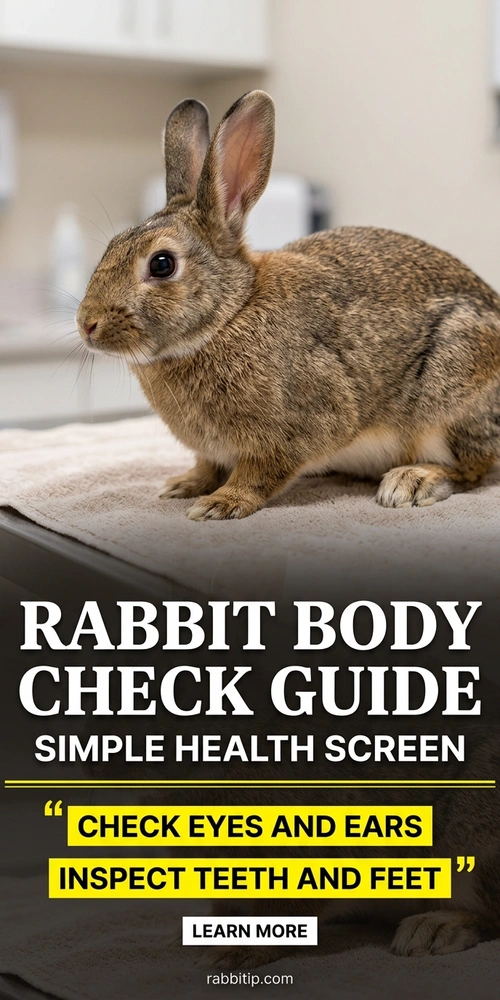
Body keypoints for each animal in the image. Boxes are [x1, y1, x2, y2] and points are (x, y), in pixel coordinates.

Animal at [77, 90, 500, 520]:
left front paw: (219, 504)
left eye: (162, 264)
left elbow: (260, 473)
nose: (86, 324)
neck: (231, 314)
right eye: (112, 246)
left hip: (451, 396)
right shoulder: (213, 450)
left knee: (472, 468)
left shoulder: (297, 429)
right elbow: (207, 465)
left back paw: (411, 482)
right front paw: (183, 486)